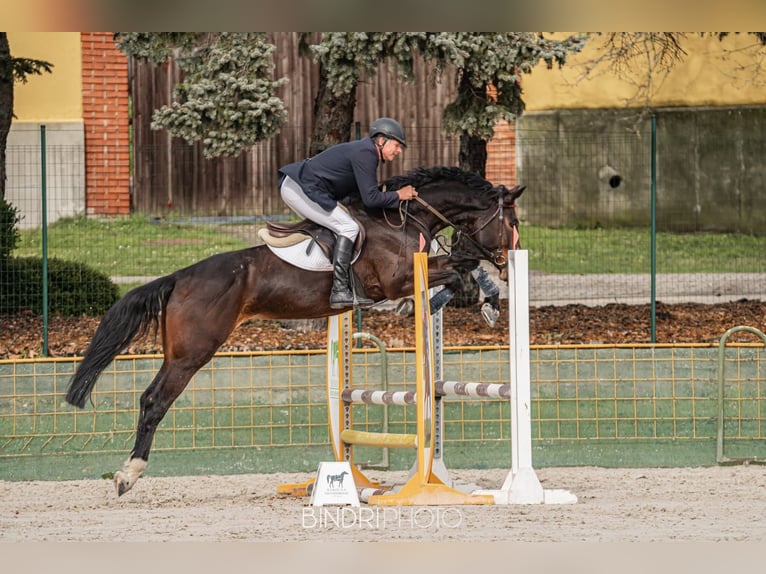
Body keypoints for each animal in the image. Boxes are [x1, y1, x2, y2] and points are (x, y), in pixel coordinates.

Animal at [64, 165, 528, 496]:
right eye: (511, 220)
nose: (509, 259)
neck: (403, 219)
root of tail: (179, 277)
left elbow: (460, 267)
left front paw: (479, 299)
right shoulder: (397, 278)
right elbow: (458, 267)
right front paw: (478, 300)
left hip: (179, 351)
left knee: (151, 399)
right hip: (191, 353)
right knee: (155, 400)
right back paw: (128, 475)